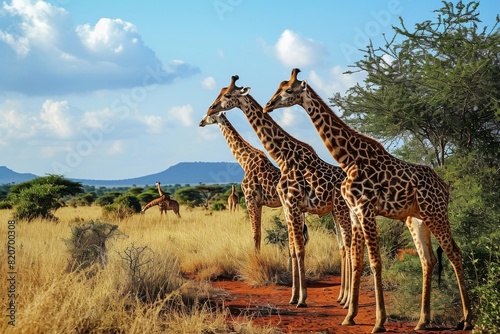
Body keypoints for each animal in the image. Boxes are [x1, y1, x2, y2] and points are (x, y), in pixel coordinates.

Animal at [200, 112, 286, 250]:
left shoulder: (250, 199)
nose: (200, 122)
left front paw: (256, 256)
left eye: (210, 114)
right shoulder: (259, 203)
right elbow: (259, 233)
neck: (245, 163)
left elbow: (255, 234)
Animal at [264, 68, 470, 332]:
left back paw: (467, 319)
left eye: (288, 90)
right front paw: (349, 316)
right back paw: (423, 321)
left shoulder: (366, 209)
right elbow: (357, 262)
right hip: (417, 219)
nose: (268, 105)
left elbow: (375, 263)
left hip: (436, 214)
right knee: (428, 259)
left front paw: (379, 322)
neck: (348, 158)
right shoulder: (354, 211)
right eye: (278, 88)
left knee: (455, 253)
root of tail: (445, 187)